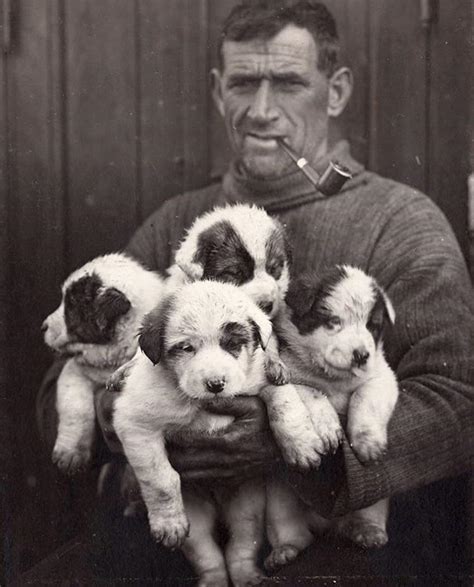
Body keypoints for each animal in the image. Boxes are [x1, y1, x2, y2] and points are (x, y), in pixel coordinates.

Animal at [264, 266, 398, 576]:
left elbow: (365, 397)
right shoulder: (292, 376)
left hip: (373, 498)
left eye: (373, 326)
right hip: (278, 500)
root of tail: (327, 523)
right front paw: (326, 431)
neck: (333, 378)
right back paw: (284, 551)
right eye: (333, 322)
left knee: (365, 512)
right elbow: (313, 393)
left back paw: (366, 531)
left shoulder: (382, 376)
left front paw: (367, 443)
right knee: (291, 530)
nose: (361, 355)